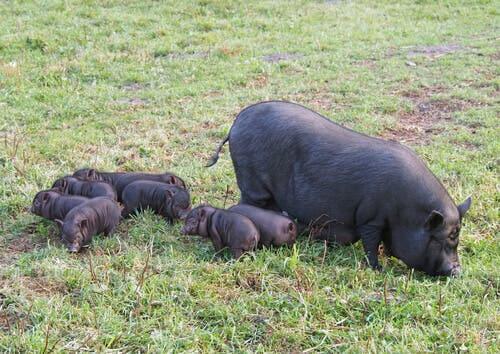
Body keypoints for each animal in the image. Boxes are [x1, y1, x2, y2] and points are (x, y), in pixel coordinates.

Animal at [207, 101, 472, 276]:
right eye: (442, 238)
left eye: (456, 236)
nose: (457, 271)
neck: (406, 214)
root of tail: (234, 125)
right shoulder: (371, 217)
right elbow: (370, 243)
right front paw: (378, 268)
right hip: (252, 183)